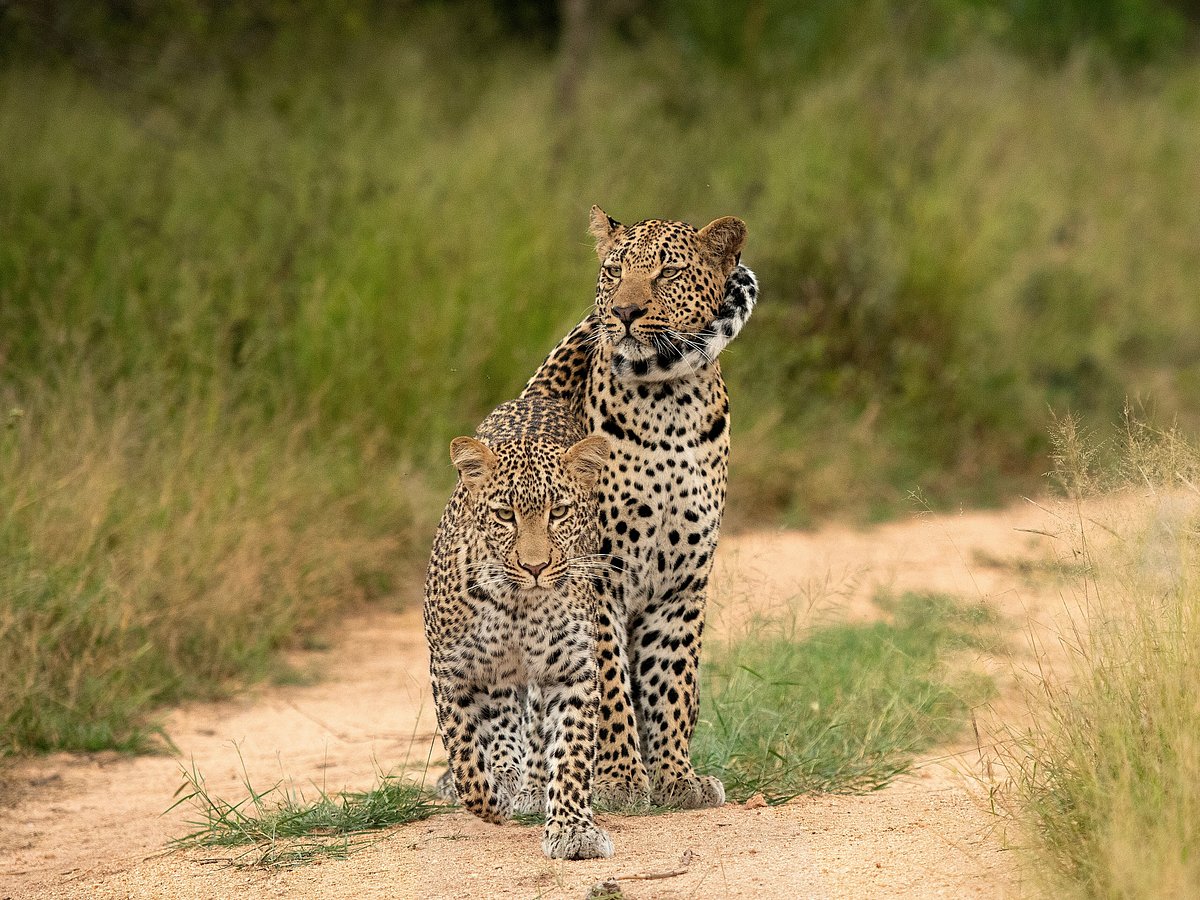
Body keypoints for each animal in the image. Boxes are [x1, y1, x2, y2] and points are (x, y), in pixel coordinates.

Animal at [520, 206, 753, 811]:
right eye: (614, 271)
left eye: (668, 273)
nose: (624, 312)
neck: (669, 406)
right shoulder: (597, 575)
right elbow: (608, 684)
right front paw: (620, 780)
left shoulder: (683, 584)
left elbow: (669, 683)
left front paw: (675, 775)